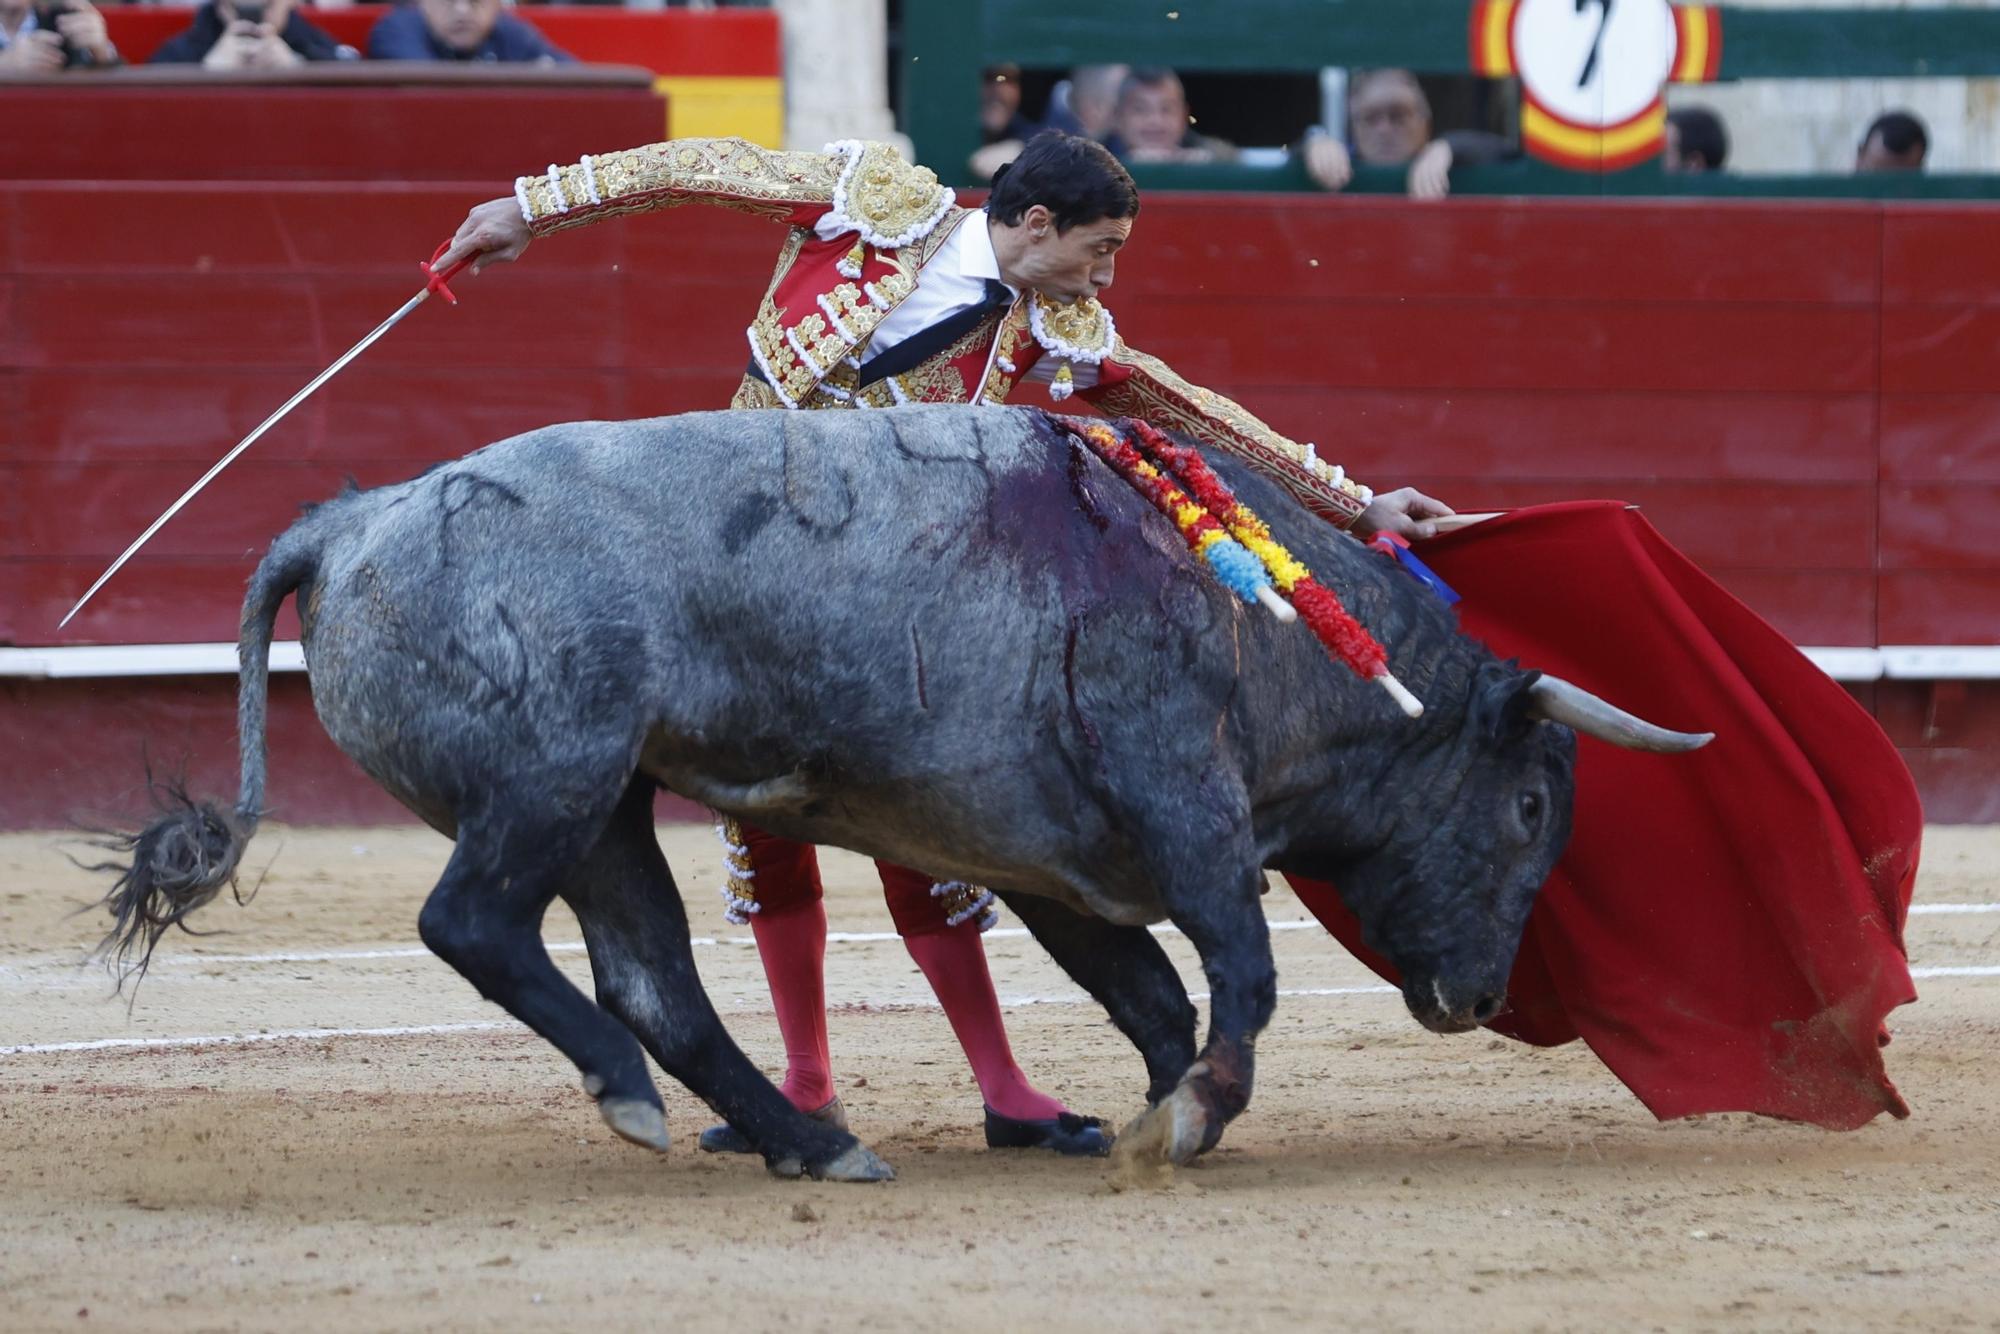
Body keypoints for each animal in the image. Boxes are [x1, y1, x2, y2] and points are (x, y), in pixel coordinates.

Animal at [94, 404, 1712, 1176]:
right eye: (1529, 813)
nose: (1479, 996)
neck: (1272, 626)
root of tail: (357, 517)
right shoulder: (1183, 806)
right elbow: (1238, 972)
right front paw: (1195, 1117)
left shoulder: (1060, 865)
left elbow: (1153, 996)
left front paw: (1150, 1113)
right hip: (552, 780)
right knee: (480, 928)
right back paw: (644, 1101)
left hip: (607, 806)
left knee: (652, 974)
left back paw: (808, 1138)